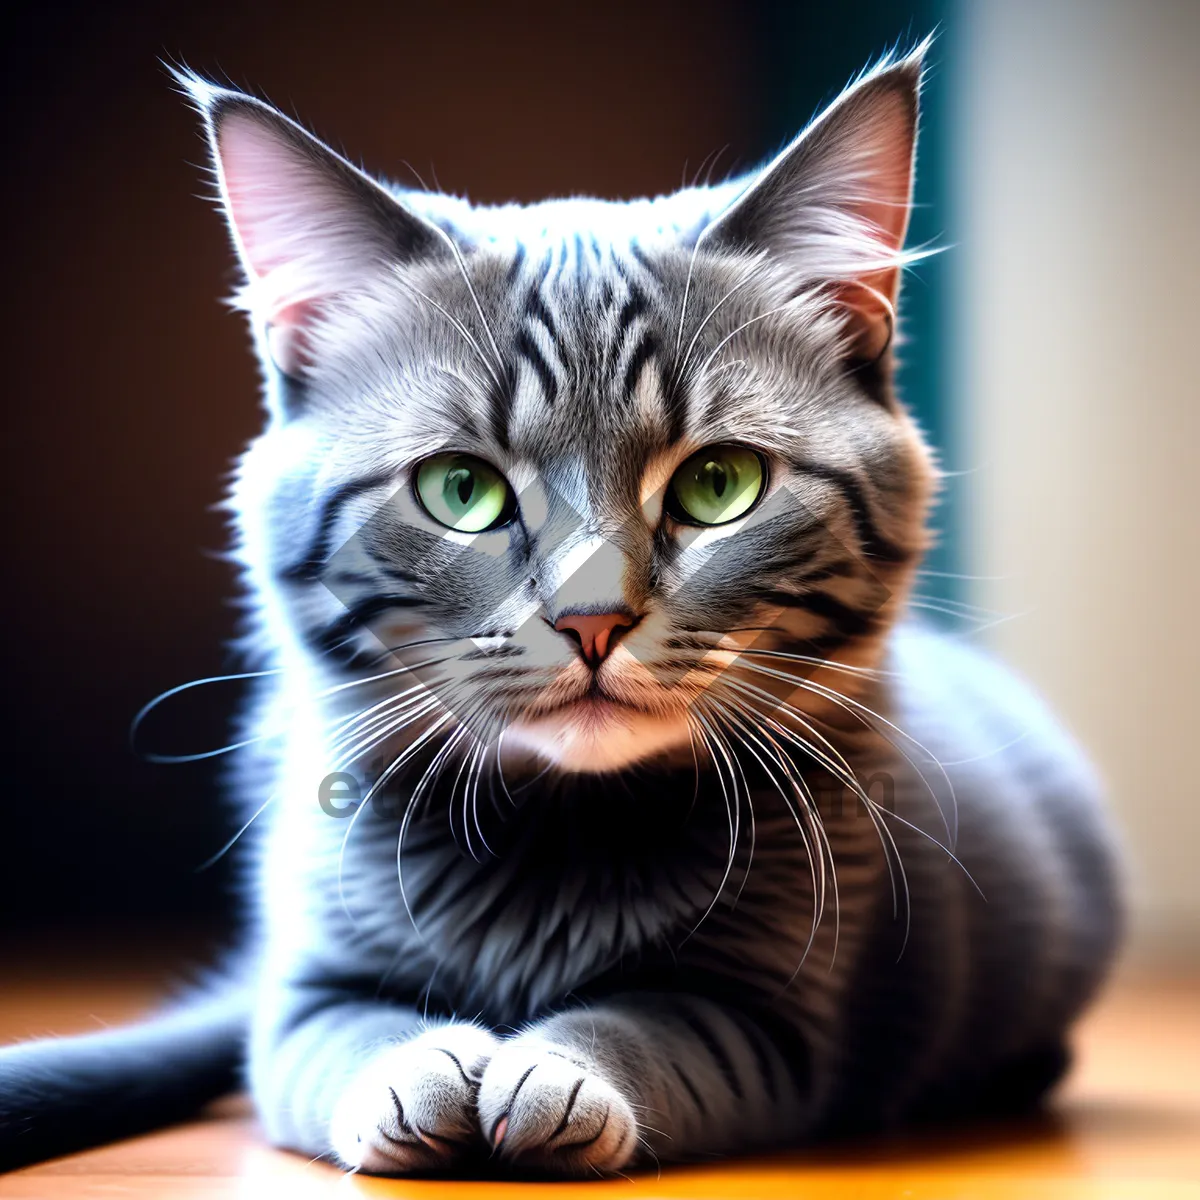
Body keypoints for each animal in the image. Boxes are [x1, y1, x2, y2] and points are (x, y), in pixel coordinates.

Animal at [0, 42, 1123, 1176]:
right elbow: (344, 1034)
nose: (592, 621)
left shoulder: (774, 1018)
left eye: (718, 484)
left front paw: (557, 1071)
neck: (553, 838)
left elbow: (651, 1024)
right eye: (460, 489)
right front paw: (415, 1071)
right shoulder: (305, 994)